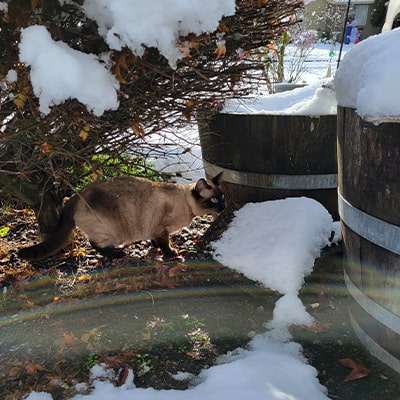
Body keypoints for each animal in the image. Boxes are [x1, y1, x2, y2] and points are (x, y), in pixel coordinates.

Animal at [18, 173, 225, 262]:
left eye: (222, 197)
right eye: (214, 200)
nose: (224, 207)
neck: (186, 203)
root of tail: (75, 197)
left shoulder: (153, 230)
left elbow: (154, 241)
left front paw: (153, 248)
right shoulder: (161, 229)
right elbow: (165, 244)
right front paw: (172, 254)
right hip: (111, 231)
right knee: (95, 244)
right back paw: (118, 253)